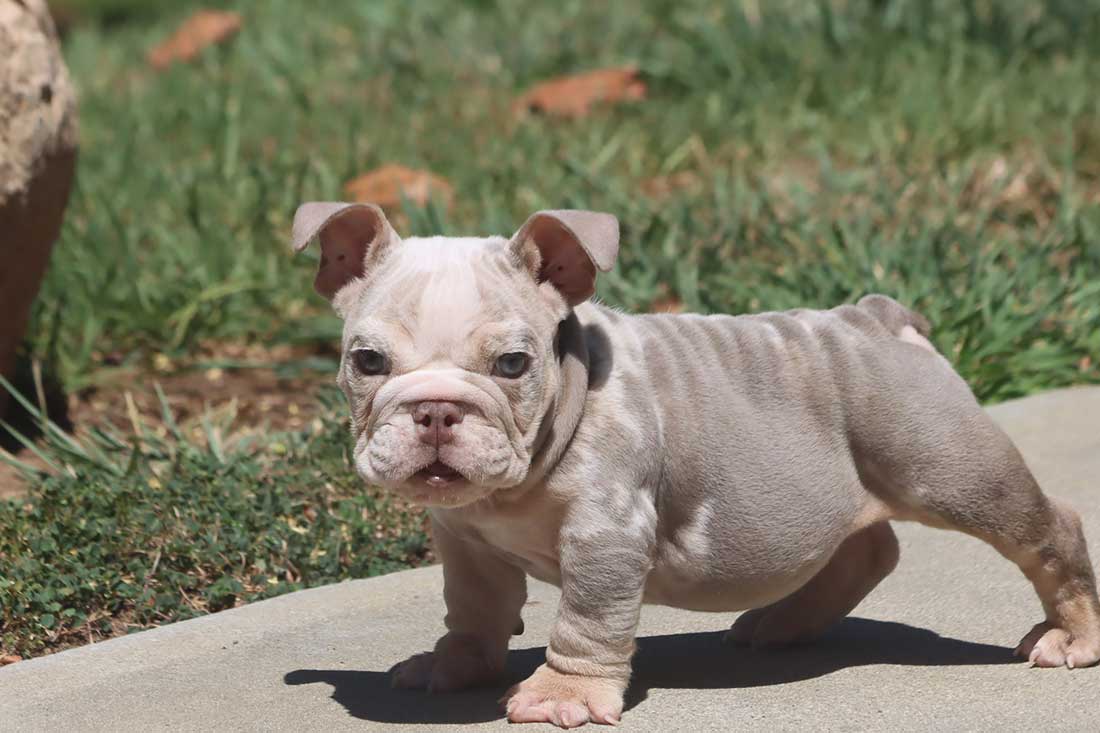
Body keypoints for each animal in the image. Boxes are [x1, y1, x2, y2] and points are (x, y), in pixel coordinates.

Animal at [292, 202, 1100, 728]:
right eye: (367, 361)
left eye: (513, 363)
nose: (434, 410)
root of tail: (876, 315)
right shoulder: (464, 540)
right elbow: (474, 605)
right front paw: (454, 664)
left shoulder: (606, 536)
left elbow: (587, 618)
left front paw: (560, 696)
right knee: (866, 547)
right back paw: (784, 623)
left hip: (949, 467)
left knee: (1045, 528)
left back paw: (1072, 635)